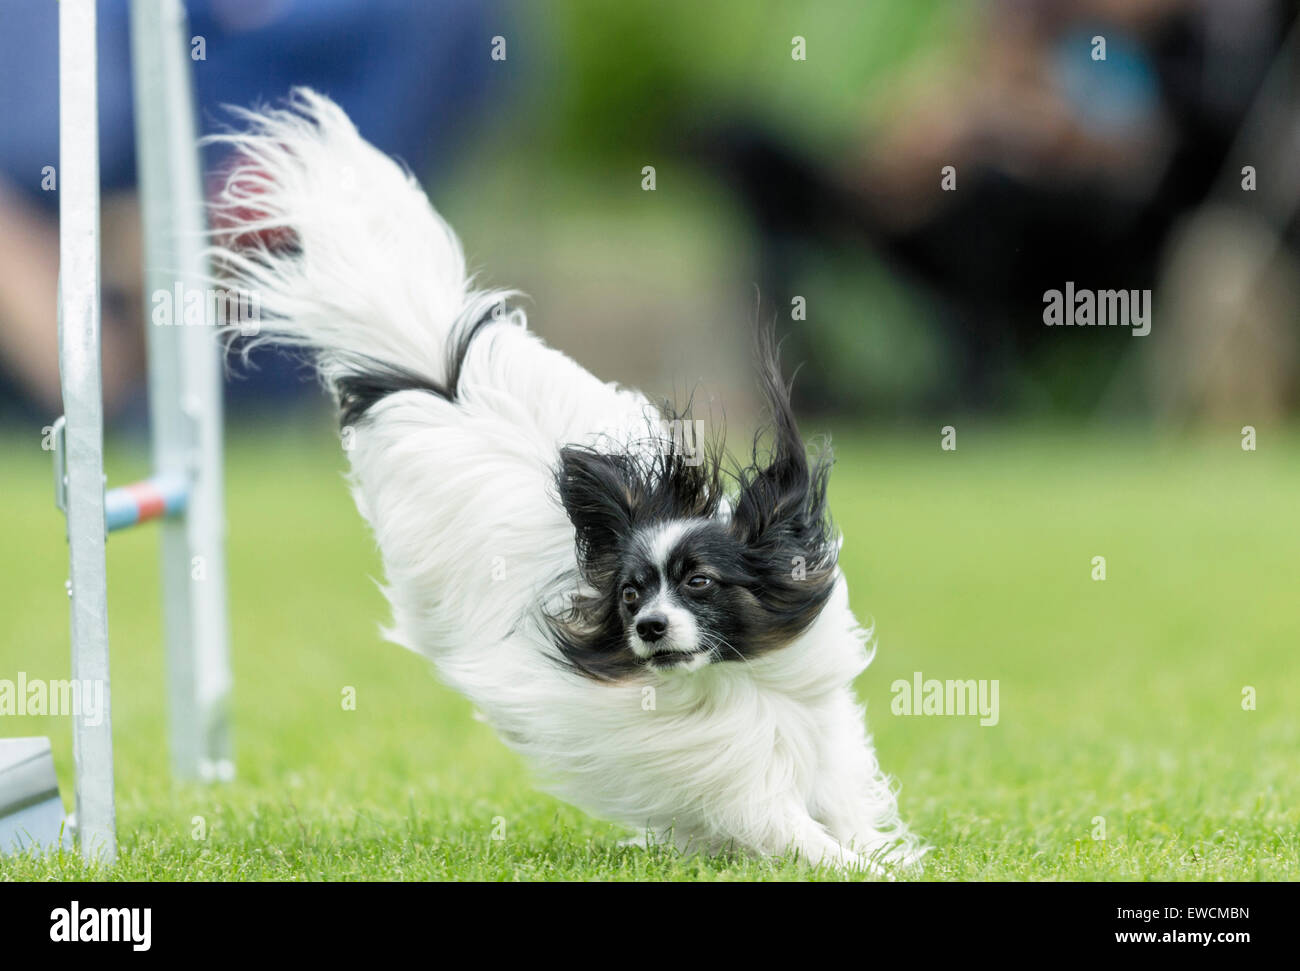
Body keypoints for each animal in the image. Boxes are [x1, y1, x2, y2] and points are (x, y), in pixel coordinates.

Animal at [208, 90, 925, 878]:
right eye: (631, 596)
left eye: (700, 583)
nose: (649, 627)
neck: (725, 679)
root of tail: (441, 381)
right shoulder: (738, 785)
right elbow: (799, 834)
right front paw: (863, 864)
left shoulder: (814, 736)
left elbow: (847, 805)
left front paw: (881, 850)